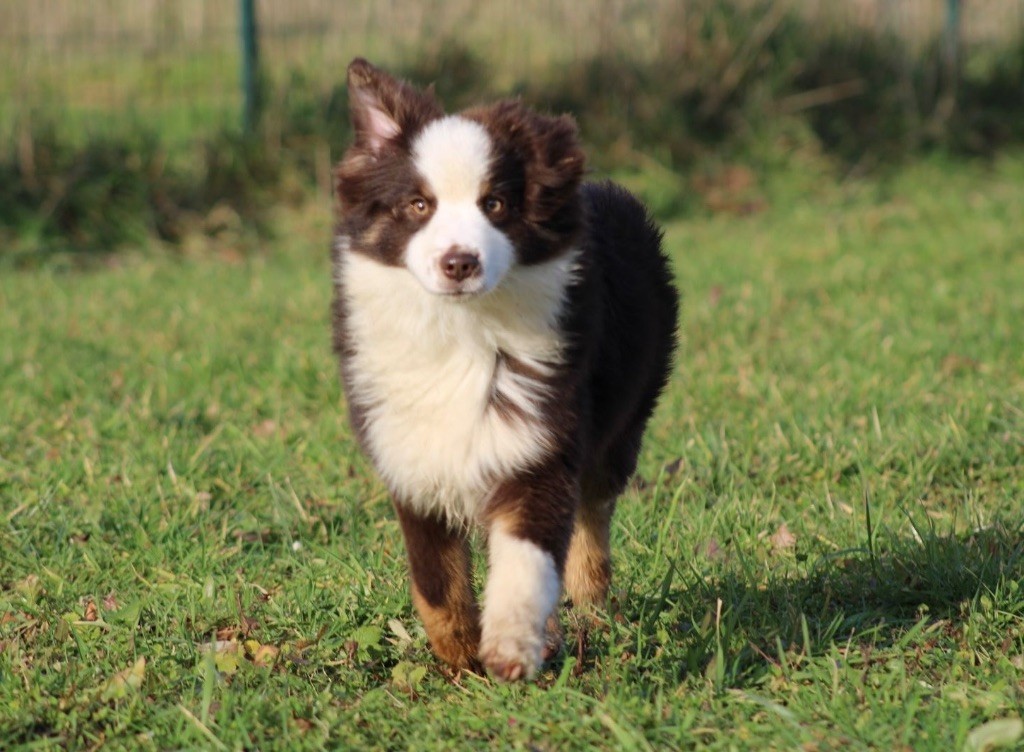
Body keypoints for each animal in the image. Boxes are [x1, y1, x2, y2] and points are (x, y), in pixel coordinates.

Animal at [331, 58, 675, 684]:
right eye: (419, 206)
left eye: (495, 204)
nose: (459, 262)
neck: (461, 330)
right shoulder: (411, 456)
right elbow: (436, 581)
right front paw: (460, 657)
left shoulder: (538, 434)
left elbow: (528, 553)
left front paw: (511, 644)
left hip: (624, 418)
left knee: (593, 511)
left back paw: (587, 600)